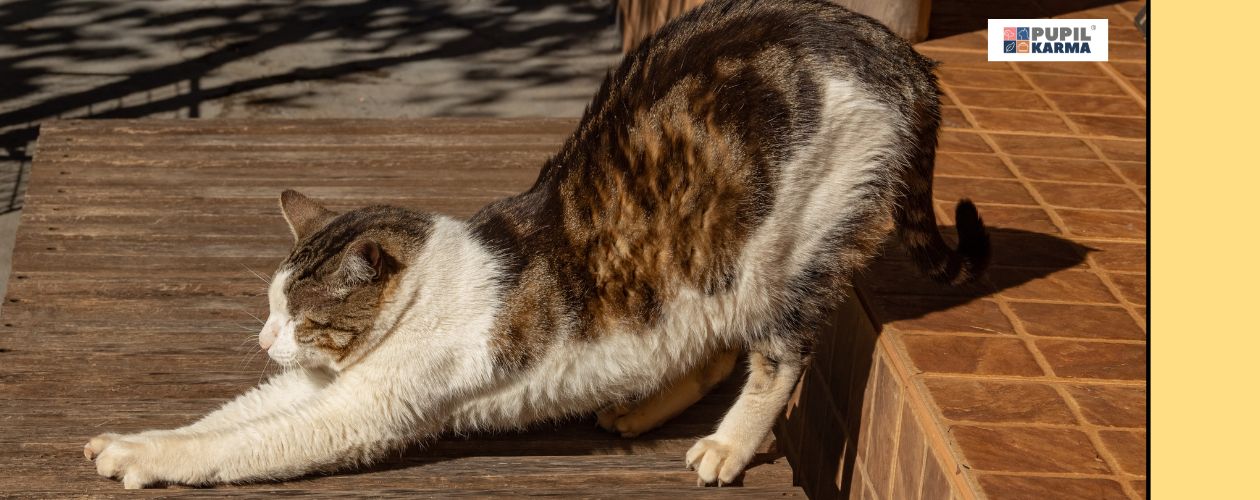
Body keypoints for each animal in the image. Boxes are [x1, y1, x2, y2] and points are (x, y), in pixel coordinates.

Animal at [83, 0, 987, 488]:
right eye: (270, 307)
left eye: (300, 317)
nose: (265, 337)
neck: (424, 290)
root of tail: (893, 51)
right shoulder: (316, 385)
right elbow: (224, 419)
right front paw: (135, 440)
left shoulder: (356, 411)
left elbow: (241, 444)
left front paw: (140, 462)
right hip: (713, 267)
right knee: (709, 337)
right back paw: (640, 406)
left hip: (789, 246)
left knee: (776, 355)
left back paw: (728, 447)